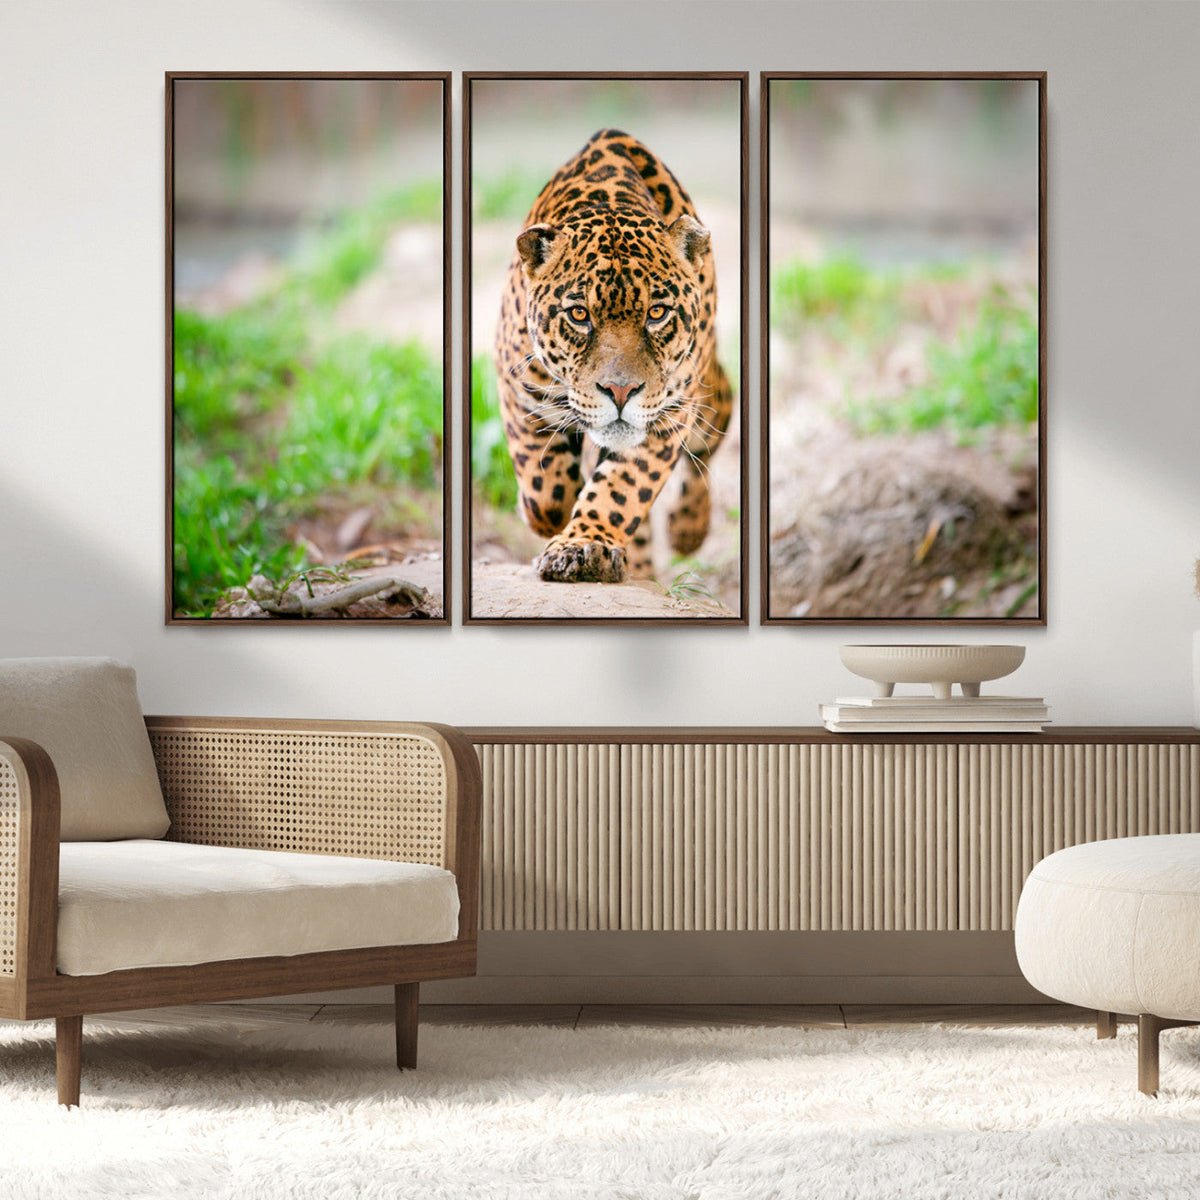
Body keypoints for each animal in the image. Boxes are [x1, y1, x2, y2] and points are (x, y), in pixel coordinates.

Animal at [492, 127, 734, 584]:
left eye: (656, 313)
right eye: (579, 315)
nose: (620, 392)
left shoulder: (668, 414)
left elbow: (621, 489)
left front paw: (584, 545)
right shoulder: (518, 387)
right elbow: (544, 488)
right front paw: (551, 518)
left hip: (708, 394)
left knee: (712, 434)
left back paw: (688, 529)